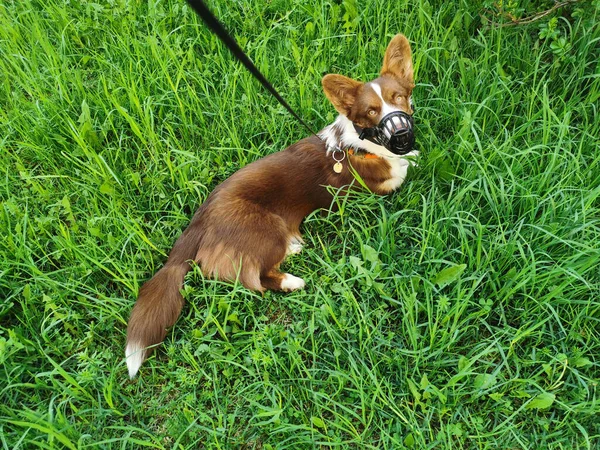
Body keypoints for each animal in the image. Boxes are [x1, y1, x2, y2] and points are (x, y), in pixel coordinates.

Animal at [125, 33, 418, 376]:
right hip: (268, 227)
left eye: (399, 97)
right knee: (255, 278)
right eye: (371, 112)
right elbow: (403, 169)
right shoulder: (384, 185)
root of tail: (198, 222)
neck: (361, 144)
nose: (401, 132)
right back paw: (292, 280)